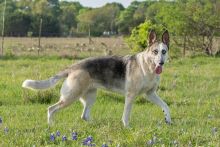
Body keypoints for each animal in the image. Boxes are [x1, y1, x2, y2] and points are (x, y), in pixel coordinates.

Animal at [21, 29, 170, 126]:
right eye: (155, 52)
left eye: (163, 51)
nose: (161, 63)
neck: (148, 67)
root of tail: (73, 67)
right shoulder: (131, 96)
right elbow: (126, 115)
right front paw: (127, 127)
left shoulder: (150, 94)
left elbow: (166, 106)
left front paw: (168, 120)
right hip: (70, 97)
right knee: (51, 109)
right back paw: (51, 126)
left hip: (91, 97)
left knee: (84, 116)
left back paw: (95, 125)